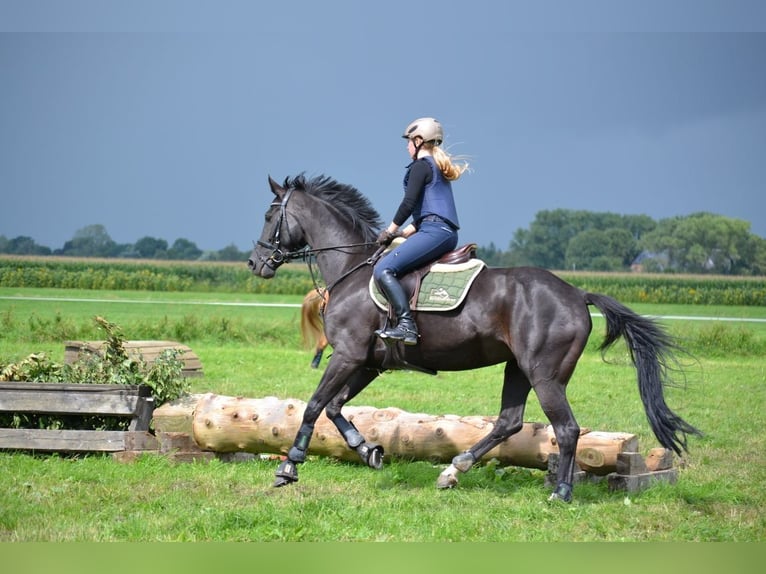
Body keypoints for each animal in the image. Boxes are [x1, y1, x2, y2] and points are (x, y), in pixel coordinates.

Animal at [247, 173, 701, 502]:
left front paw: (288, 467)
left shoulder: (347, 355)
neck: (352, 268)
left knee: (567, 429)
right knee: (509, 422)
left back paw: (560, 492)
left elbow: (314, 406)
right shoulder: (368, 362)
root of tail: (577, 293)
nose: (255, 264)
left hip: (544, 373)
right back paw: (454, 470)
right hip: (517, 367)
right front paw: (368, 451)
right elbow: (335, 407)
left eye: (270, 216)